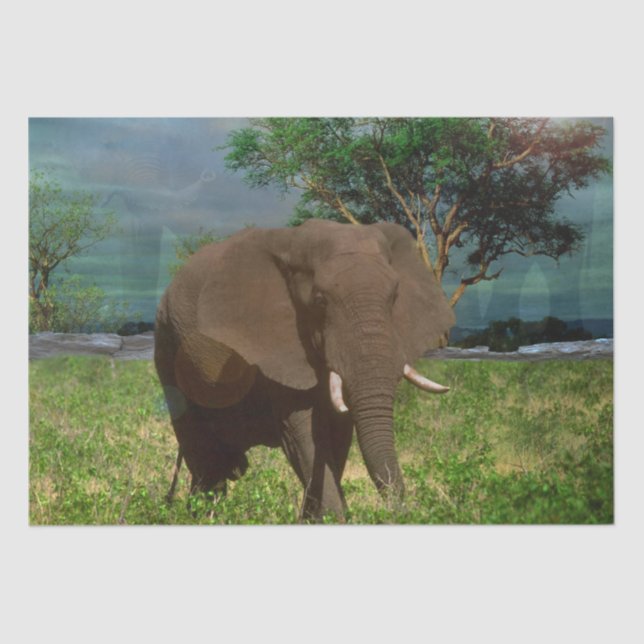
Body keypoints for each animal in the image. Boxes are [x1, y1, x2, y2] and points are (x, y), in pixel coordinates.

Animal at [154, 219, 455, 521]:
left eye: (394, 298)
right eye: (320, 302)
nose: (401, 511)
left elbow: (336, 435)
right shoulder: (275, 347)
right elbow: (305, 434)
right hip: (169, 347)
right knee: (205, 460)